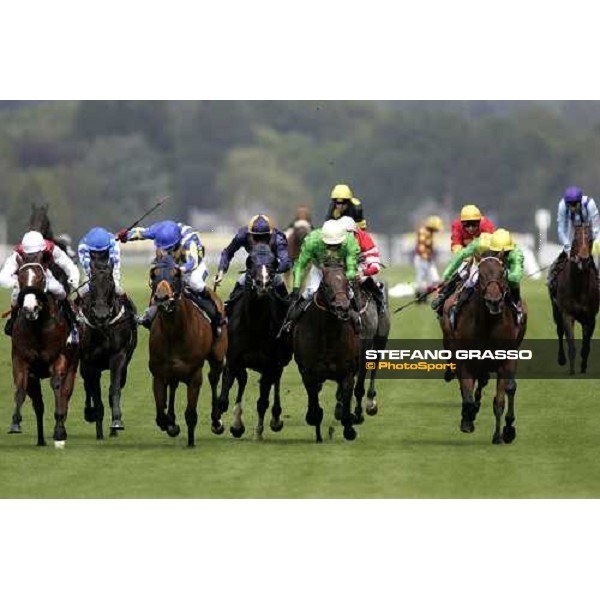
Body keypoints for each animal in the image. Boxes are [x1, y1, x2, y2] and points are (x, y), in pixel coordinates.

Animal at [8, 258, 79, 446]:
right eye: (20, 278)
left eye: (40, 278)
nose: (30, 308)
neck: (39, 326)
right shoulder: (21, 359)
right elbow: (20, 389)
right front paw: (15, 422)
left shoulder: (59, 358)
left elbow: (57, 386)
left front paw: (59, 431)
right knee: (38, 405)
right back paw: (40, 439)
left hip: (72, 366)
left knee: (65, 394)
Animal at [148, 253, 227, 446]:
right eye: (154, 274)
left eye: (175, 274)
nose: (161, 298)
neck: (175, 332)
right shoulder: (158, 373)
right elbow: (160, 416)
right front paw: (171, 424)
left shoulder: (194, 375)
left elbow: (191, 414)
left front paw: (190, 441)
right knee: (173, 385)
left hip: (217, 356)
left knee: (214, 378)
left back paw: (216, 421)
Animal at [292, 260, 358, 442]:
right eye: (326, 285)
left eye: (347, 283)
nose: (342, 307)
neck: (328, 334)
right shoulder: (308, 373)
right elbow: (313, 403)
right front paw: (315, 422)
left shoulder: (347, 373)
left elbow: (346, 398)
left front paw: (349, 429)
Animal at [438, 253, 528, 446]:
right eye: (481, 275)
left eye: (502, 273)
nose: (494, 301)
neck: (488, 324)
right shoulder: (465, 358)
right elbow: (466, 390)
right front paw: (467, 419)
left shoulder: (506, 360)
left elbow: (501, 399)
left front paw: (502, 433)